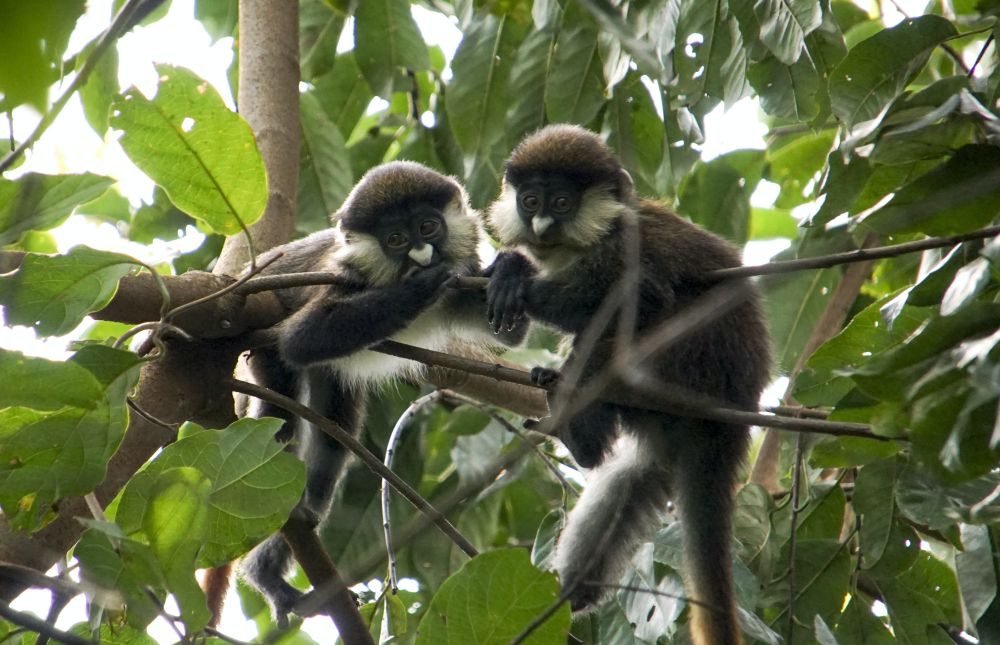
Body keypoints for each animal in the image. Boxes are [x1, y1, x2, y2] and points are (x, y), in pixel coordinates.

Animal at [235, 158, 528, 620]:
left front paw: (510, 270)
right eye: (395, 240)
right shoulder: (342, 278)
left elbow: (511, 333)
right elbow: (299, 339)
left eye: (428, 226)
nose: (423, 256)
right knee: (281, 426)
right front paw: (418, 287)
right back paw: (266, 578)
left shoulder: (464, 280)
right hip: (263, 359)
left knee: (328, 454)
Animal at [484, 124, 772, 644]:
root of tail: (731, 418)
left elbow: (638, 295)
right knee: (627, 479)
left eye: (561, 203)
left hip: (688, 365)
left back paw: (580, 434)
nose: (542, 228)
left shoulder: (623, 246)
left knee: (629, 324)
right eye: (530, 201)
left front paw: (513, 274)